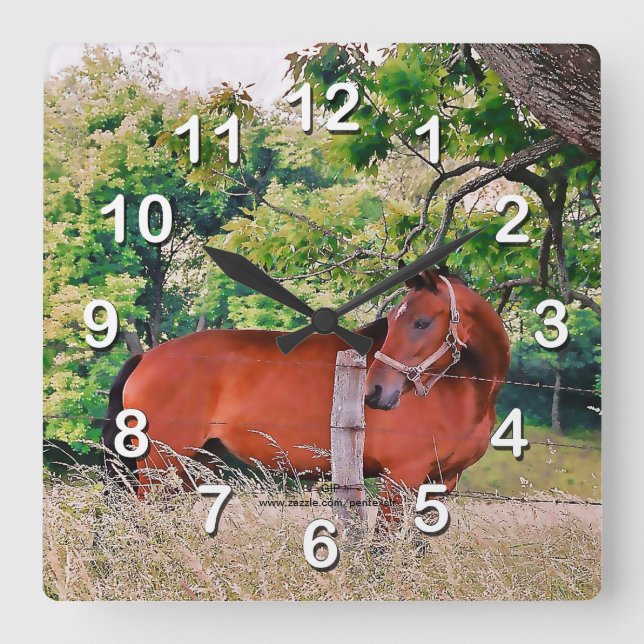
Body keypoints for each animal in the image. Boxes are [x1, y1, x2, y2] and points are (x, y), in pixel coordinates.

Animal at [102, 267, 510, 518]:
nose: (376, 391)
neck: (460, 391)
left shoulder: (442, 483)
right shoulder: (400, 479)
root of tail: (145, 357)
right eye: (394, 321)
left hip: (188, 469)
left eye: (422, 322)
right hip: (159, 469)